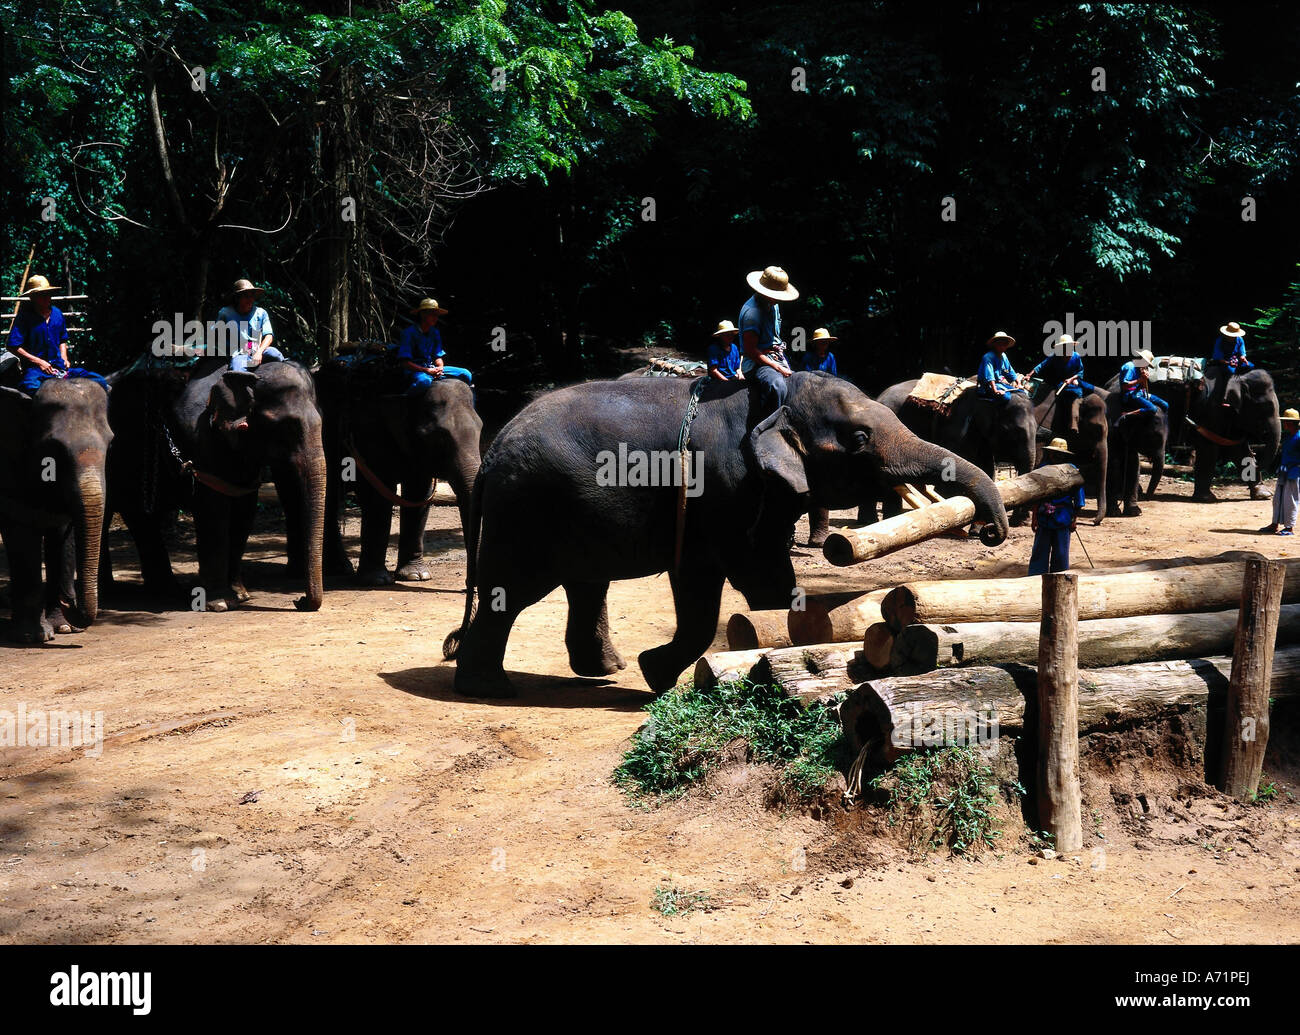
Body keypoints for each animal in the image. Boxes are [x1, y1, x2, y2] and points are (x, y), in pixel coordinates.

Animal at [0, 377, 111, 639]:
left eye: (111, 442)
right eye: (53, 448)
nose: (69, 600)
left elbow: (62, 532)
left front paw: (65, 627)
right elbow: (21, 528)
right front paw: (31, 635)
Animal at [104, 358, 327, 611]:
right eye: (287, 427)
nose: (298, 600)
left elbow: (243, 510)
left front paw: (241, 596)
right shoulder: (199, 439)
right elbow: (213, 509)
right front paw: (220, 603)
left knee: (139, 517)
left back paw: (164, 591)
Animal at [314, 353, 483, 582]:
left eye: (481, 429)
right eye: (438, 437)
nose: (467, 584)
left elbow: (419, 494)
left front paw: (416, 575)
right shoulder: (369, 432)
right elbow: (378, 495)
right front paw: (377, 579)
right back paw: (338, 569)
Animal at [441, 366, 1008, 696]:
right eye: (861, 438)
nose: (991, 533)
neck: (772, 401)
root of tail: (492, 452)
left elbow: (763, 575)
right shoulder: (719, 491)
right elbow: (723, 579)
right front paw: (657, 675)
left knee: (586, 585)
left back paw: (604, 671)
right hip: (526, 509)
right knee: (511, 592)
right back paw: (487, 689)